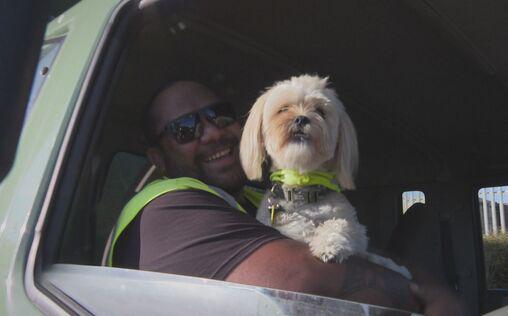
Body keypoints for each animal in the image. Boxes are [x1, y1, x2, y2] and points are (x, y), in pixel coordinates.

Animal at [240, 75, 410, 278]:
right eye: (283, 109)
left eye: (320, 111)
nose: (301, 118)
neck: (303, 191)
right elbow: (298, 227)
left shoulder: (355, 229)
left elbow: (340, 225)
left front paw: (329, 246)